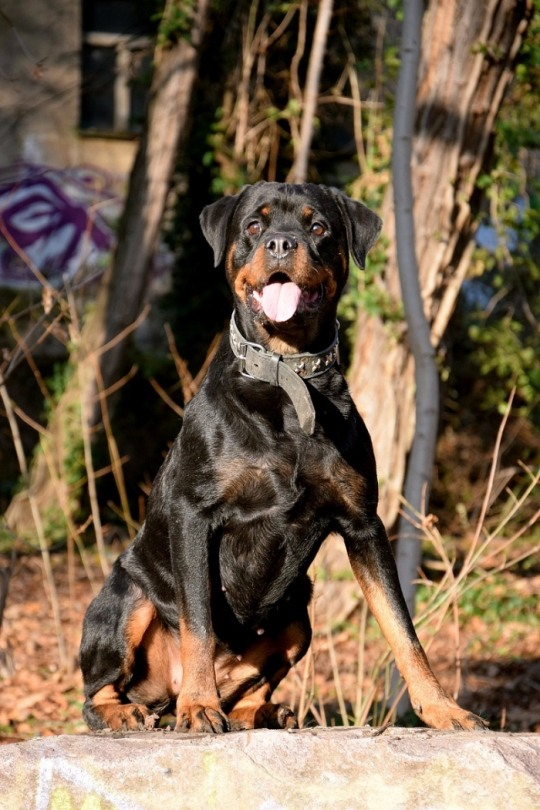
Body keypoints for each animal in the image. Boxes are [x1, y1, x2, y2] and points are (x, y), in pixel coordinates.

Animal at [80, 181, 486, 732]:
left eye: (318, 227)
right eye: (255, 224)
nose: (280, 243)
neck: (287, 376)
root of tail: (162, 693)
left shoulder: (363, 522)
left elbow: (403, 629)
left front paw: (444, 708)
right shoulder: (194, 514)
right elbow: (198, 620)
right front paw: (199, 705)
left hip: (299, 613)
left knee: (252, 687)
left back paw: (266, 710)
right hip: (128, 597)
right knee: (99, 690)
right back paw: (137, 709)